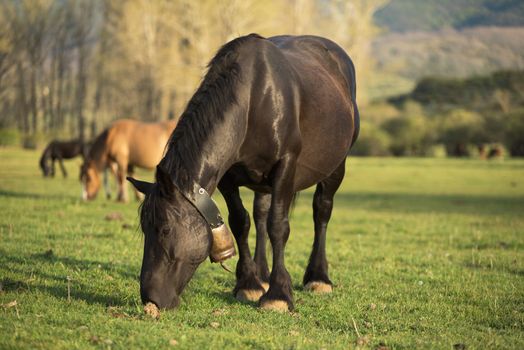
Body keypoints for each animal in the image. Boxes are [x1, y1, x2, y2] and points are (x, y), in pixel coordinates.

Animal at [128, 34, 360, 314]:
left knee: (321, 212)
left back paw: (318, 277)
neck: (254, 101)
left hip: (336, 167)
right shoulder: (227, 178)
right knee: (260, 214)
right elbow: (241, 222)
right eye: (144, 229)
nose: (150, 298)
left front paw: (279, 294)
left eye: (164, 230)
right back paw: (262, 274)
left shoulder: (285, 167)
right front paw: (248, 283)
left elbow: (278, 226)